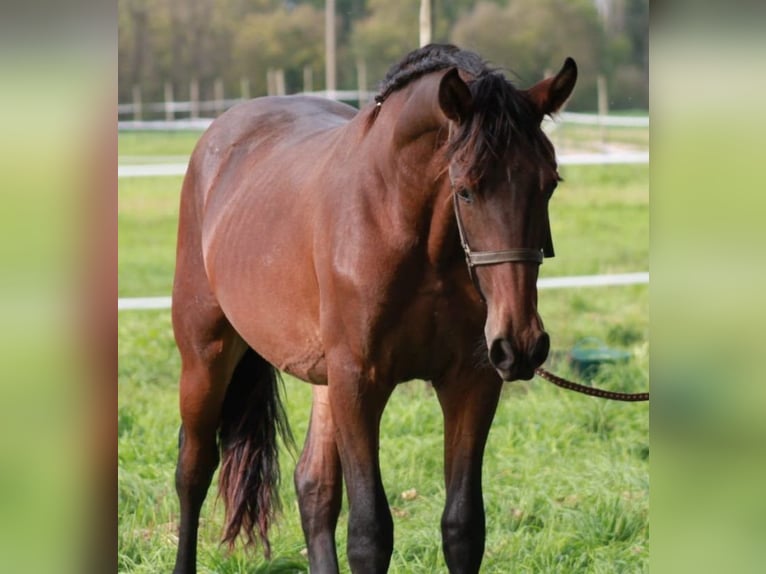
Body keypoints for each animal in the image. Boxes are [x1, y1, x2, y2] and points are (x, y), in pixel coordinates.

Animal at [172, 42, 576, 572]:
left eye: (549, 184)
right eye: (465, 188)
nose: (522, 343)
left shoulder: (471, 382)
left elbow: (463, 526)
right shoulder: (360, 384)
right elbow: (369, 533)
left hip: (325, 381)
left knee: (314, 487)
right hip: (206, 357)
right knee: (193, 470)